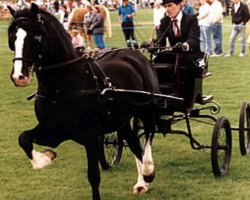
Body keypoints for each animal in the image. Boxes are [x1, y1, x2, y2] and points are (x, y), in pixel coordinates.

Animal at [7, 3, 159, 200]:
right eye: (12, 38)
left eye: (37, 37)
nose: (19, 76)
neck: (60, 89)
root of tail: (135, 54)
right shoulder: (53, 131)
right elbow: (24, 138)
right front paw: (44, 159)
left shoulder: (90, 136)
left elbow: (93, 176)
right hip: (121, 119)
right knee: (134, 143)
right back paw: (141, 183)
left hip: (147, 108)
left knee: (148, 133)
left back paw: (148, 169)